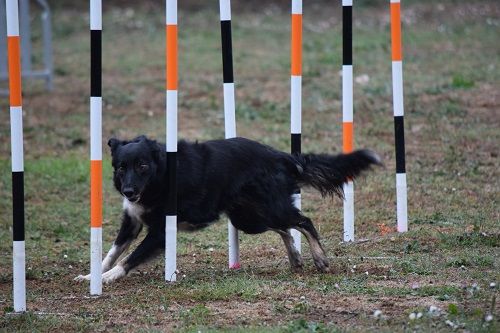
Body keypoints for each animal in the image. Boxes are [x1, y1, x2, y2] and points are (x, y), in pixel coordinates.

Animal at [75, 135, 378, 282]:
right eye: (121, 167)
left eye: (142, 166)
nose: (128, 191)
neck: (159, 177)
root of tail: (280, 156)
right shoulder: (132, 222)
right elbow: (111, 252)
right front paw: (93, 275)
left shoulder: (161, 231)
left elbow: (128, 259)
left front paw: (110, 278)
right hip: (249, 217)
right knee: (286, 228)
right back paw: (295, 257)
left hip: (264, 210)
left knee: (304, 221)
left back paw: (319, 259)